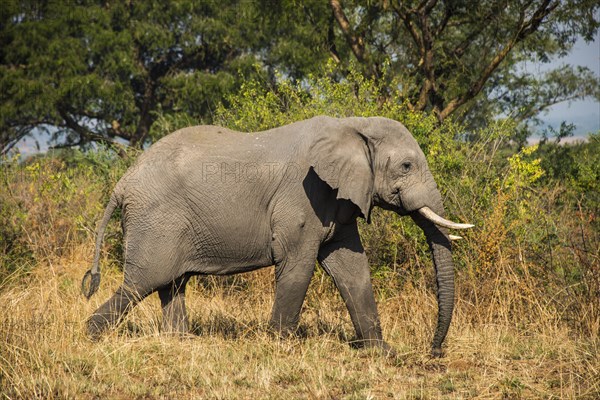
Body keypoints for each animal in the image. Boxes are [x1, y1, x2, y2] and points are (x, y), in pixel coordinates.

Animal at [82, 115, 472, 356]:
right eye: (406, 166)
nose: (434, 351)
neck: (353, 124)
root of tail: (121, 184)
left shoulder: (337, 199)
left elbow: (352, 267)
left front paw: (381, 352)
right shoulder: (303, 194)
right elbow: (298, 263)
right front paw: (280, 346)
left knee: (171, 284)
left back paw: (178, 341)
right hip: (156, 221)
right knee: (143, 282)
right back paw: (89, 335)